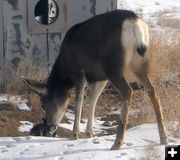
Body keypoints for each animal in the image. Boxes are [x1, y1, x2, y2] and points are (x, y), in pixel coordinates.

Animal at [22, 9, 167, 150]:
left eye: (43, 103)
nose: (48, 129)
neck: (64, 67)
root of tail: (134, 23)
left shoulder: (78, 72)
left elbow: (79, 100)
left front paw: (75, 134)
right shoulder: (100, 77)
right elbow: (93, 99)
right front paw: (89, 133)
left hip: (112, 64)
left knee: (128, 91)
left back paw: (117, 143)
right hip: (139, 63)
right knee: (152, 91)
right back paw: (163, 138)